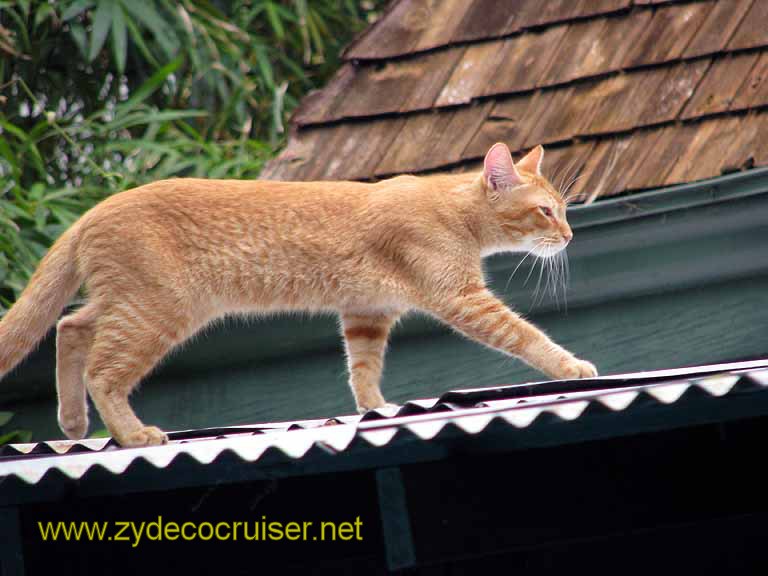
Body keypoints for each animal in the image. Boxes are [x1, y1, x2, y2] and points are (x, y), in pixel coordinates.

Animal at [0, 143, 592, 446]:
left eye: (563, 210)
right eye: (546, 210)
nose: (569, 237)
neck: (453, 209)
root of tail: (92, 212)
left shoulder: (367, 313)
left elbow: (363, 369)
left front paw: (375, 408)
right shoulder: (464, 299)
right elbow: (525, 336)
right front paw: (573, 366)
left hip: (128, 303)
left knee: (69, 327)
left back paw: (72, 422)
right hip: (155, 310)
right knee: (102, 371)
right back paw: (132, 434)